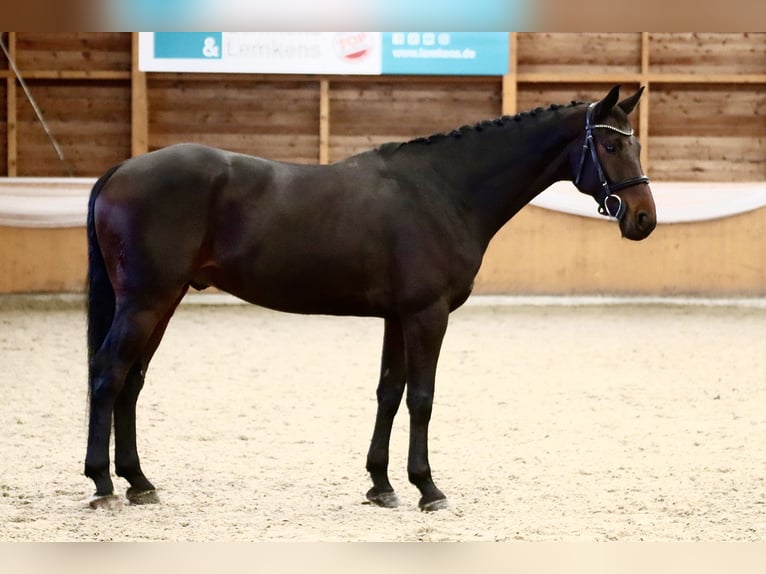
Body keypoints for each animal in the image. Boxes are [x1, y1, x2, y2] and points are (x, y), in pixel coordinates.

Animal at [84, 84, 656, 511]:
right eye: (609, 146)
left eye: (635, 145)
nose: (644, 219)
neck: (444, 190)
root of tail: (121, 169)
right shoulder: (427, 314)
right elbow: (421, 397)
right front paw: (428, 488)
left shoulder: (396, 318)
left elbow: (389, 392)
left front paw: (381, 485)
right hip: (145, 301)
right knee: (108, 374)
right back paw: (104, 485)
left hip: (163, 301)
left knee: (131, 381)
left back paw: (139, 482)